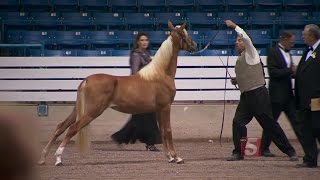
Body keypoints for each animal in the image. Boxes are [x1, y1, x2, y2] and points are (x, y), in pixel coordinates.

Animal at [38, 20, 196, 165]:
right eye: (184, 34)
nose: (194, 45)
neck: (161, 74)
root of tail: (86, 80)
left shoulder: (158, 109)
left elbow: (163, 131)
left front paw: (169, 157)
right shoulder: (166, 107)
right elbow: (168, 131)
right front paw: (176, 157)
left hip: (77, 110)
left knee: (61, 127)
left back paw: (44, 157)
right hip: (91, 112)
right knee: (72, 129)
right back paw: (58, 158)